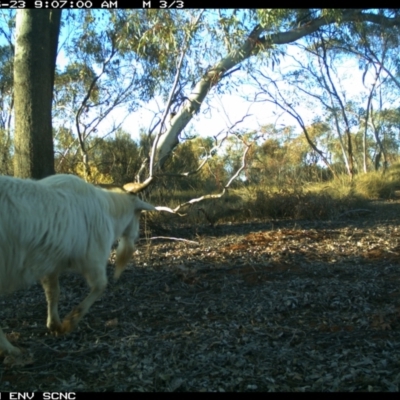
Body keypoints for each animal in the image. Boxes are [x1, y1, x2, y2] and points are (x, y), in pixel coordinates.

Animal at [0, 173, 155, 354]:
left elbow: (53, 292)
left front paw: (55, 325)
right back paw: (10, 350)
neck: (108, 210)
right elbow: (100, 286)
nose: (137, 235)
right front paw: (70, 322)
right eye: (138, 214)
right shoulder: (93, 259)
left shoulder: (50, 263)